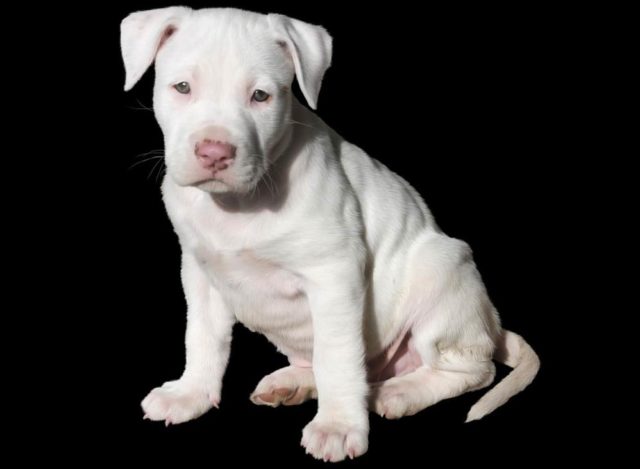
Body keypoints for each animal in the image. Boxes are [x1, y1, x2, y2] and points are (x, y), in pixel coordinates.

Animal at [120, 7, 540, 460]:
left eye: (261, 96)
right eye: (182, 87)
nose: (214, 152)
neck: (238, 203)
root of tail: (489, 325)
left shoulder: (334, 274)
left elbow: (337, 355)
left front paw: (338, 425)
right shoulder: (199, 271)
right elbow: (202, 336)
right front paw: (190, 393)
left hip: (442, 274)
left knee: (472, 370)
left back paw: (401, 392)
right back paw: (295, 383)